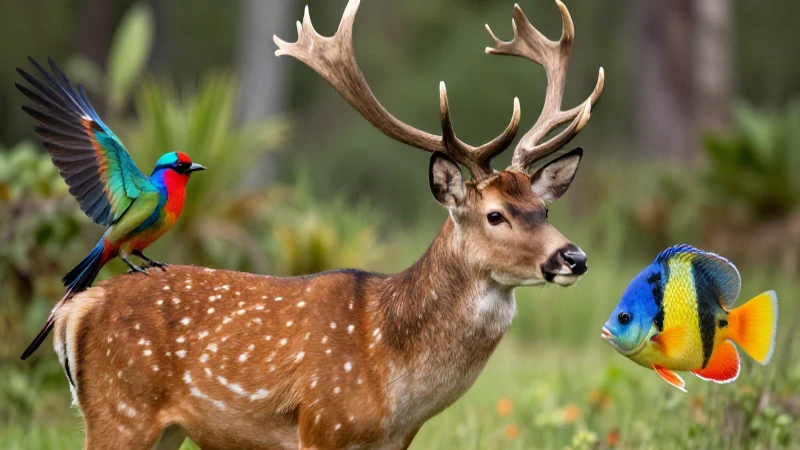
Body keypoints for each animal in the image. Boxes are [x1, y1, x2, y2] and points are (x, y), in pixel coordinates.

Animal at [48, 0, 604, 448]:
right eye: (495, 214)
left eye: (544, 209)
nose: (574, 257)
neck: (392, 388)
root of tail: (75, 309)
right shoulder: (322, 423)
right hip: (120, 410)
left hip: (162, 427)